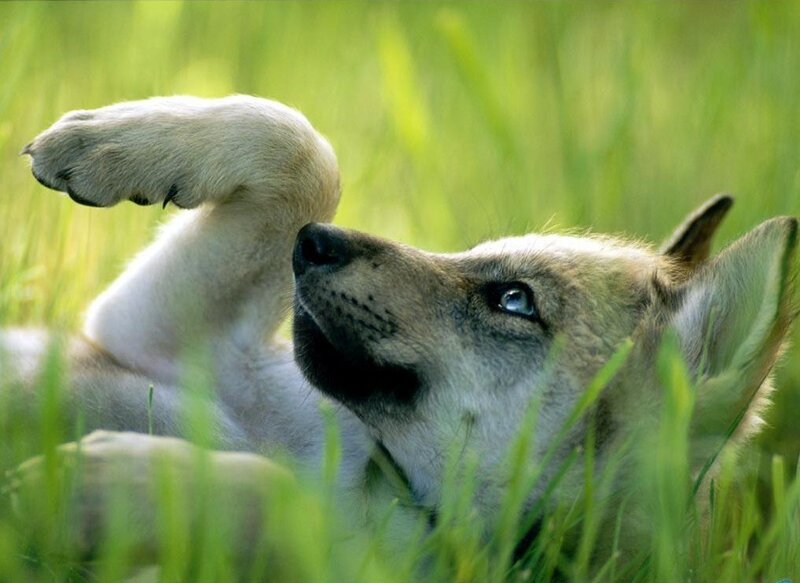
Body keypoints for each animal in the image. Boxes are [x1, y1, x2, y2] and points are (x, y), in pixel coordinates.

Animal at [3, 96, 797, 569]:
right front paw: (98, 142)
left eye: (514, 300)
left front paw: (108, 485)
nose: (311, 243)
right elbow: (300, 143)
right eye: (478, 257)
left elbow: (285, 503)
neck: (381, 477)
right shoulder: (152, 334)